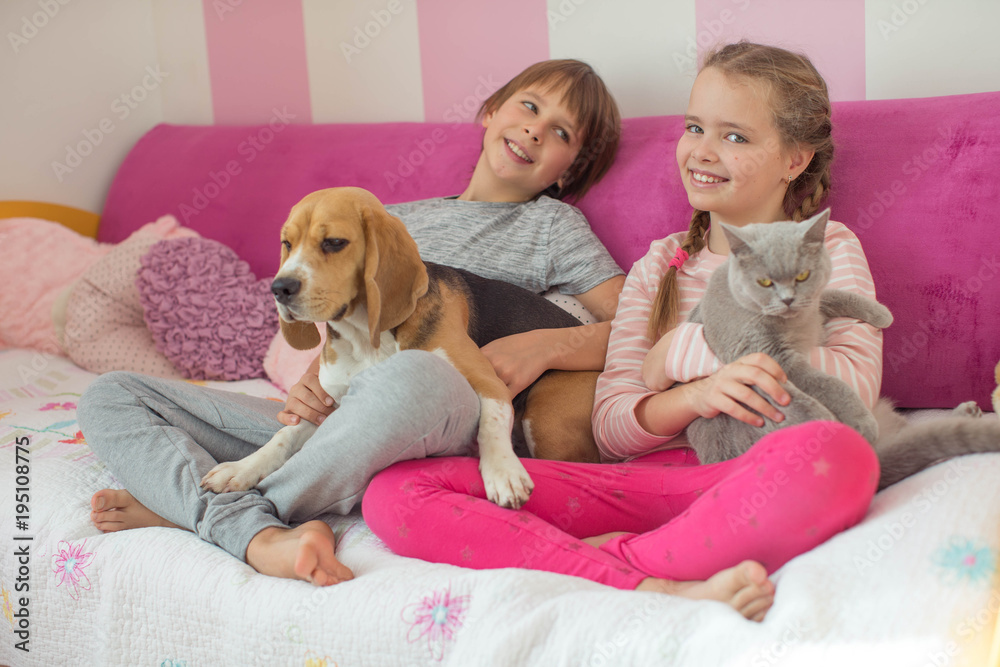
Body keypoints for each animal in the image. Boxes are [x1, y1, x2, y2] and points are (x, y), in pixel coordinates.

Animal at [200, 187, 598, 508]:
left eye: (334, 243)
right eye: (287, 244)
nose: (279, 288)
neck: (366, 338)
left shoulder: (489, 381)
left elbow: (492, 423)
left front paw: (502, 472)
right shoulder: (327, 405)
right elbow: (283, 436)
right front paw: (242, 469)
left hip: (545, 415)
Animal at [684, 208, 1000, 490]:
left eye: (803, 276)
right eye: (764, 281)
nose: (787, 300)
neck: (795, 322)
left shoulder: (813, 306)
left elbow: (832, 295)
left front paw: (880, 313)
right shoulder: (769, 357)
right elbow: (823, 386)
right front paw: (832, 426)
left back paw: (967, 412)